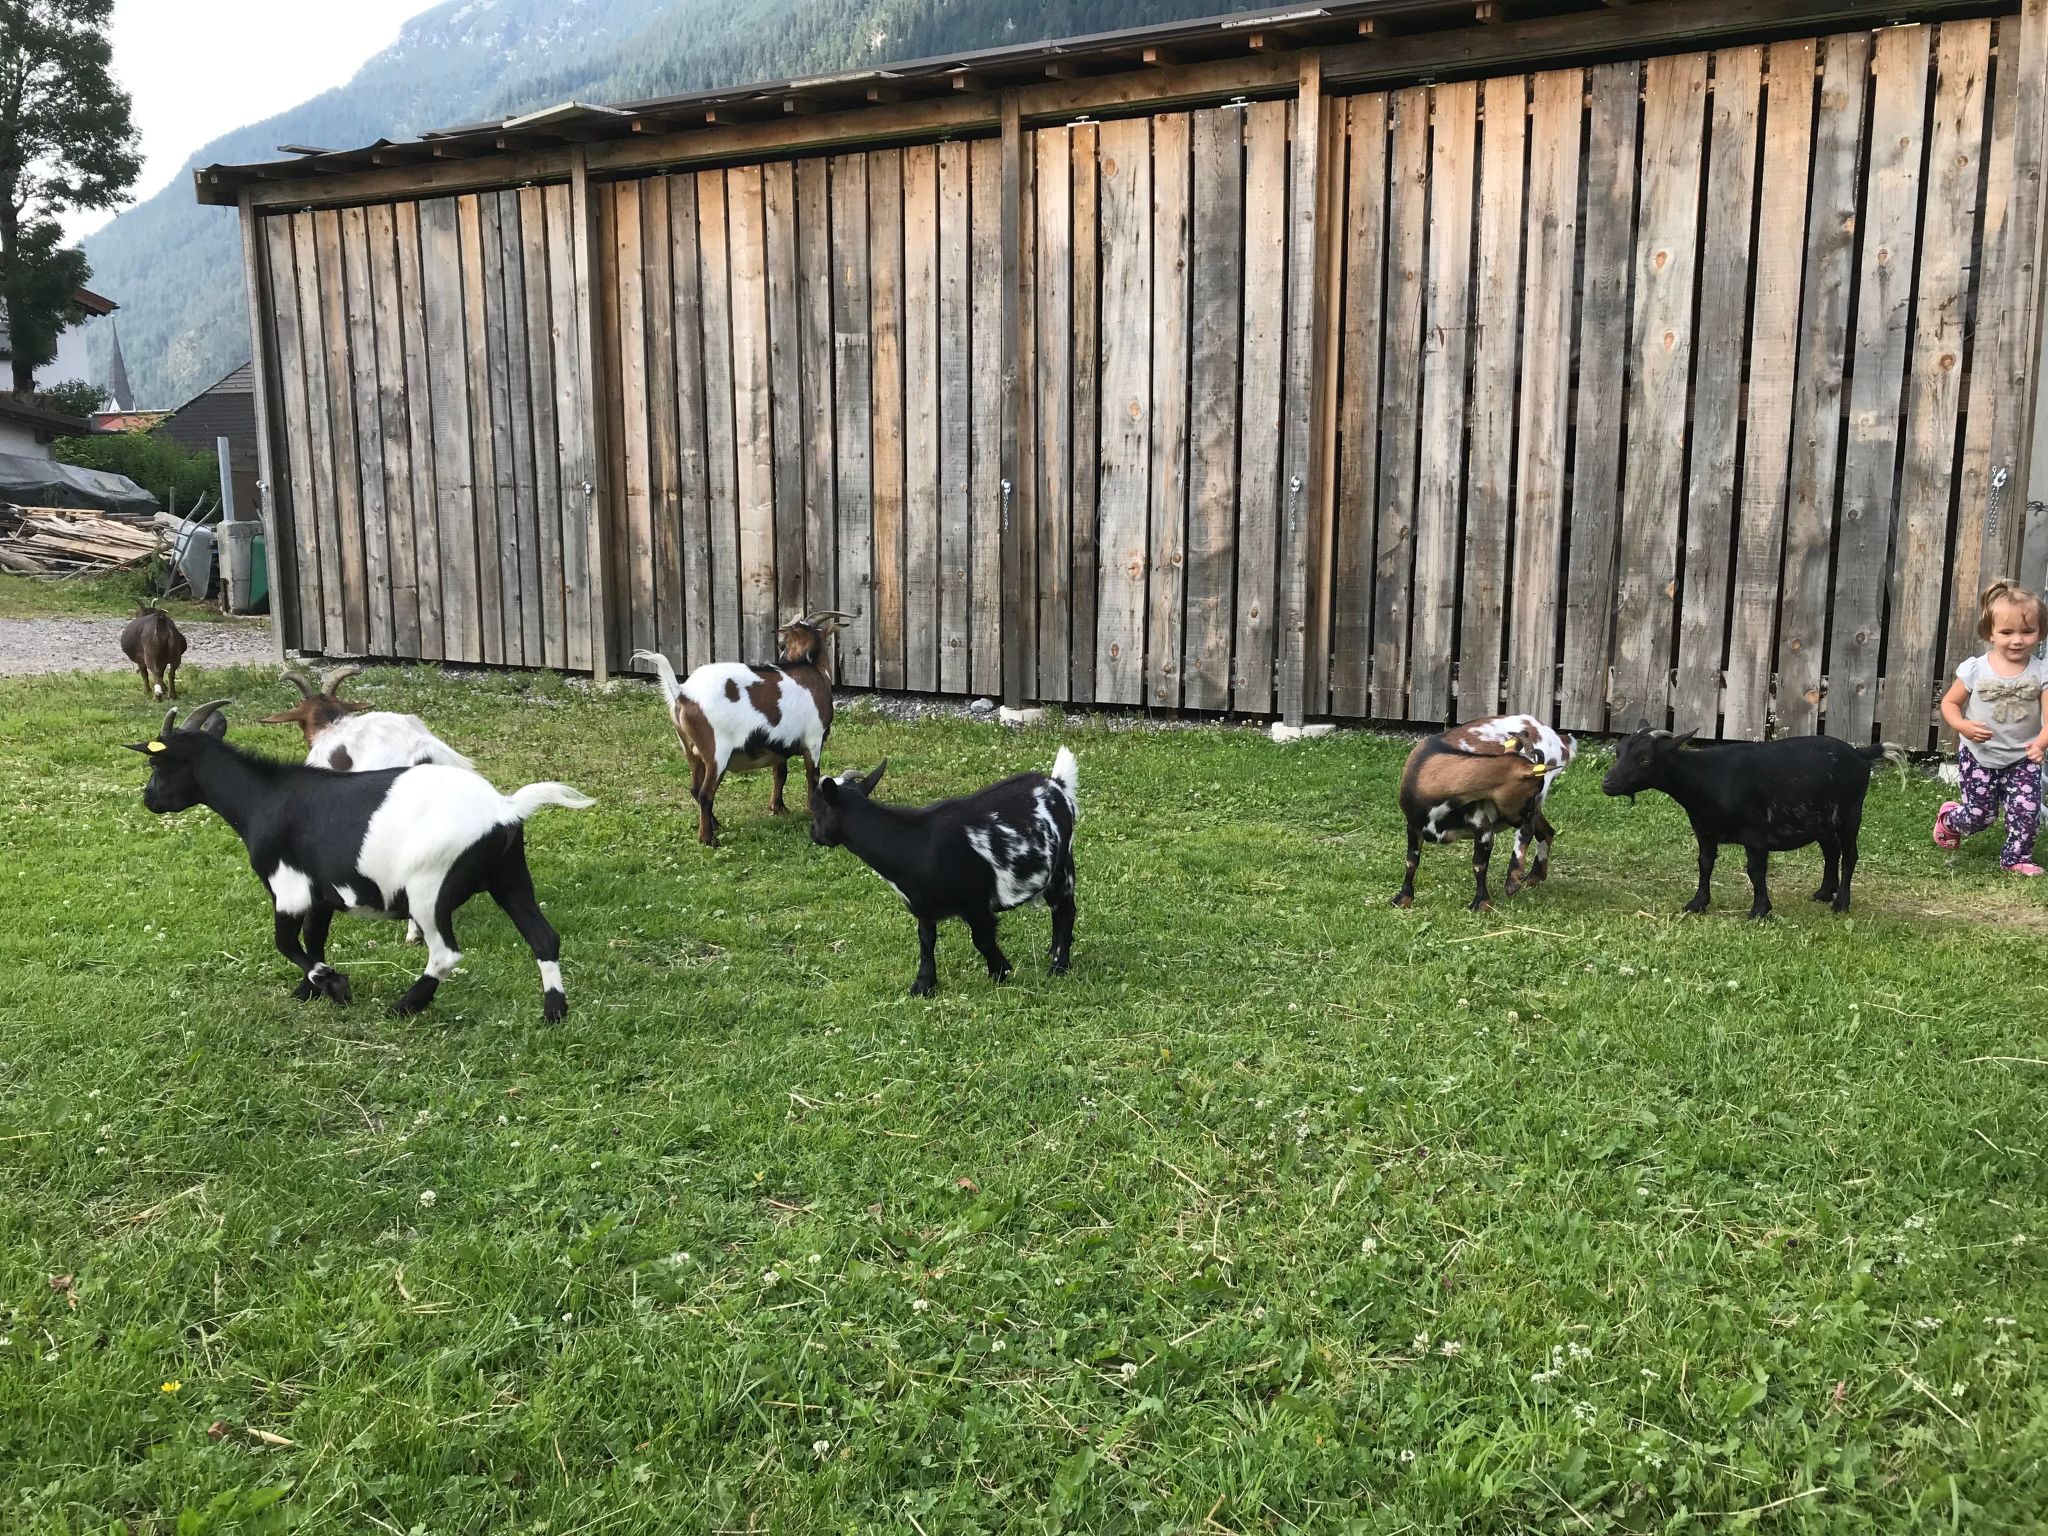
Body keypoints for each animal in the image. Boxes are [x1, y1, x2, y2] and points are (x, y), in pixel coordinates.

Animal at [129, 700, 593, 1020]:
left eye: (157, 764)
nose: (150, 800)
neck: (262, 797)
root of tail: (505, 808)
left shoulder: (288, 888)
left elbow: (287, 943)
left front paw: (333, 984)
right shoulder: (320, 895)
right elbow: (313, 939)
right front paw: (308, 990)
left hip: (430, 889)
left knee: (445, 954)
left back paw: (404, 1005)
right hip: (510, 875)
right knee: (543, 937)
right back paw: (554, 1013)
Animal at [632, 609, 856, 846]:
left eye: (784, 643)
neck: (813, 671)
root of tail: (683, 693)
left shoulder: (779, 745)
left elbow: (780, 773)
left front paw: (778, 808)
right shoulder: (813, 740)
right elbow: (812, 777)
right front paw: (810, 812)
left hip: (690, 751)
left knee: (694, 788)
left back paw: (715, 825)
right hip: (717, 752)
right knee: (705, 794)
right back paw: (708, 839)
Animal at [810, 748, 1078, 996]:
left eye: (815, 809)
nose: (814, 834)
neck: (914, 844)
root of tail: (1056, 784)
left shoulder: (976, 902)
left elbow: (982, 939)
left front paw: (1000, 972)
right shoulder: (923, 906)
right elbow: (926, 941)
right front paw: (923, 985)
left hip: (1061, 866)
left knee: (1064, 910)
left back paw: (1059, 966)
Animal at [1394, 714, 1577, 911]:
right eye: (1532, 789)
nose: (1524, 814)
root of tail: (1561, 741)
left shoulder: (1483, 825)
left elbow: (1479, 865)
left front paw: (1481, 903)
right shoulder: (1413, 824)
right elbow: (1411, 861)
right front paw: (1403, 898)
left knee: (1527, 833)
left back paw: (1513, 881)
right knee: (1546, 831)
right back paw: (1534, 877)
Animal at [1601, 729, 1897, 919]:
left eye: (1644, 759)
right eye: (1618, 752)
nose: (1607, 783)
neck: (1706, 778)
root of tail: (1860, 754)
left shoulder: (1755, 834)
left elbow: (1755, 870)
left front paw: (1759, 911)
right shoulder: (1704, 831)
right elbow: (1704, 864)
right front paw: (1697, 904)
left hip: (1850, 811)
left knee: (1850, 854)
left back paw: (1841, 903)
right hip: (1820, 818)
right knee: (1831, 849)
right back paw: (1824, 892)